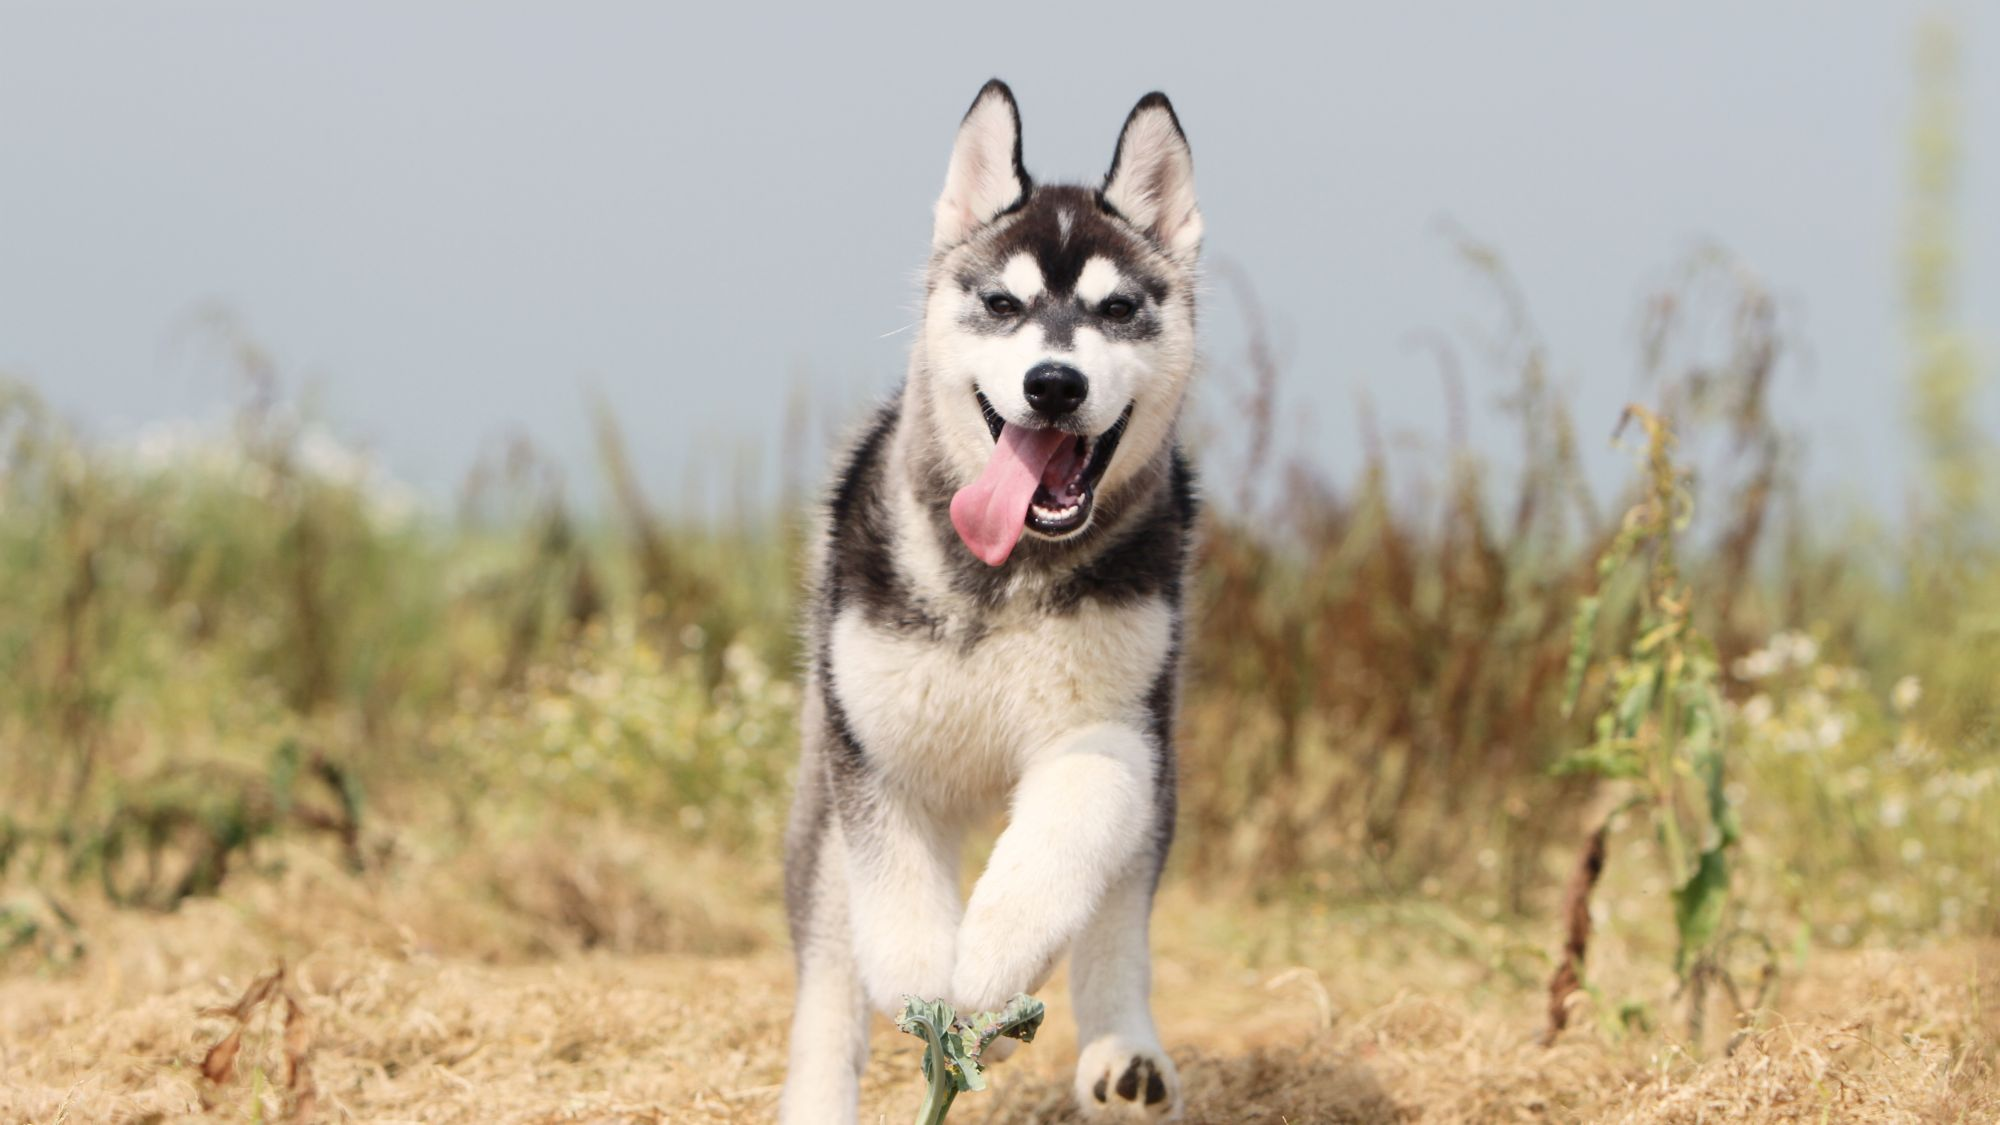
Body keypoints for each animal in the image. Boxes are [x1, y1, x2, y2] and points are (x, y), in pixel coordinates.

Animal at [780, 81, 1192, 1120]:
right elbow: (892, 908)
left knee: (1116, 914)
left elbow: (1055, 859)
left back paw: (1123, 1054)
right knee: (828, 965)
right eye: (1002, 305)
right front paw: (929, 985)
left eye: (1117, 310)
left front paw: (989, 971)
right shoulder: (872, 748)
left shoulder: (1108, 734)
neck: (1002, 578)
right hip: (818, 801)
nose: (1053, 383)